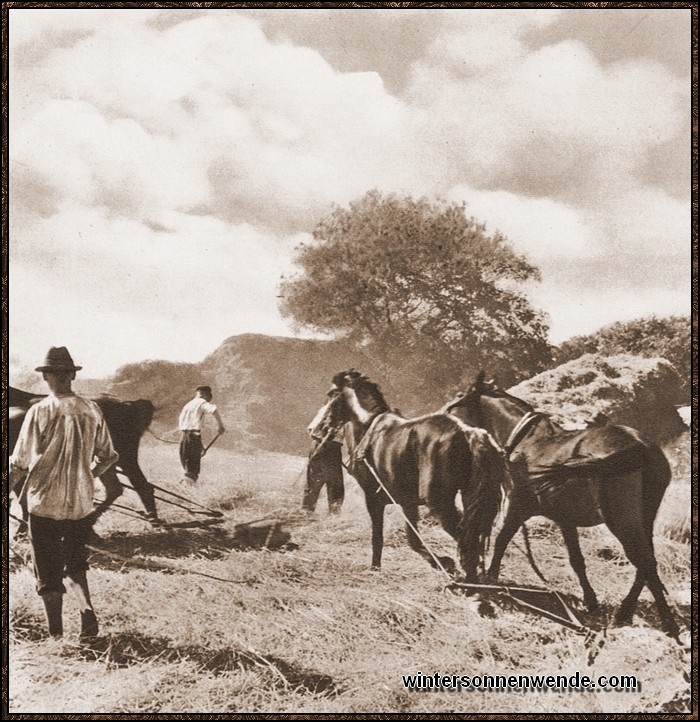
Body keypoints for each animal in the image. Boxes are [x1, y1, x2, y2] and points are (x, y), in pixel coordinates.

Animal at [308, 372, 506, 580]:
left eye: (331, 395)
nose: (314, 429)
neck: (368, 429)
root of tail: (468, 433)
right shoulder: (407, 502)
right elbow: (413, 539)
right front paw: (443, 563)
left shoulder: (373, 498)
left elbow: (378, 537)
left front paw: (375, 568)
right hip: (468, 499)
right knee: (472, 535)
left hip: (440, 502)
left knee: (465, 538)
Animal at [446, 372, 680, 636]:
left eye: (459, 397)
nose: (445, 415)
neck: (527, 442)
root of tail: (638, 445)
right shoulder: (565, 519)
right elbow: (576, 560)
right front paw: (590, 600)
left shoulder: (518, 507)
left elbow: (501, 539)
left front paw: (492, 577)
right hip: (645, 515)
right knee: (646, 561)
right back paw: (626, 611)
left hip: (621, 520)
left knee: (644, 561)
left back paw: (667, 623)